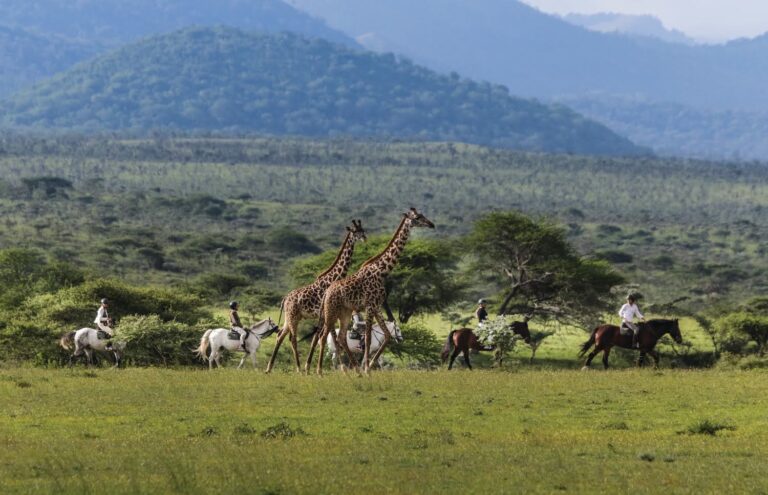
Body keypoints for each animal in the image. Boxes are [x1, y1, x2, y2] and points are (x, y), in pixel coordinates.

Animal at [266, 219, 368, 374]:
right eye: (356, 231)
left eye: (363, 230)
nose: (364, 238)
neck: (333, 278)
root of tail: (285, 299)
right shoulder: (327, 314)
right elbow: (329, 339)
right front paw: (339, 368)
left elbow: (319, 339)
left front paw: (312, 368)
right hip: (293, 316)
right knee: (292, 338)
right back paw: (298, 368)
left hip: (290, 317)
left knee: (280, 336)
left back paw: (269, 368)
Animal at [308, 209, 438, 376]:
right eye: (417, 217)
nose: (431, 224)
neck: (381, 270)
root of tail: (326, 292)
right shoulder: (370, 305)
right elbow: (369, 338)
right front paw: (367, 369)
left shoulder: (376, 306)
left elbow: (387, 336)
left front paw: (369, 366)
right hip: (331, 311)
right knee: (324, 336)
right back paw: (320, 371)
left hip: (343, 313)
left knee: (340, 337)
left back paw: (353, 370)